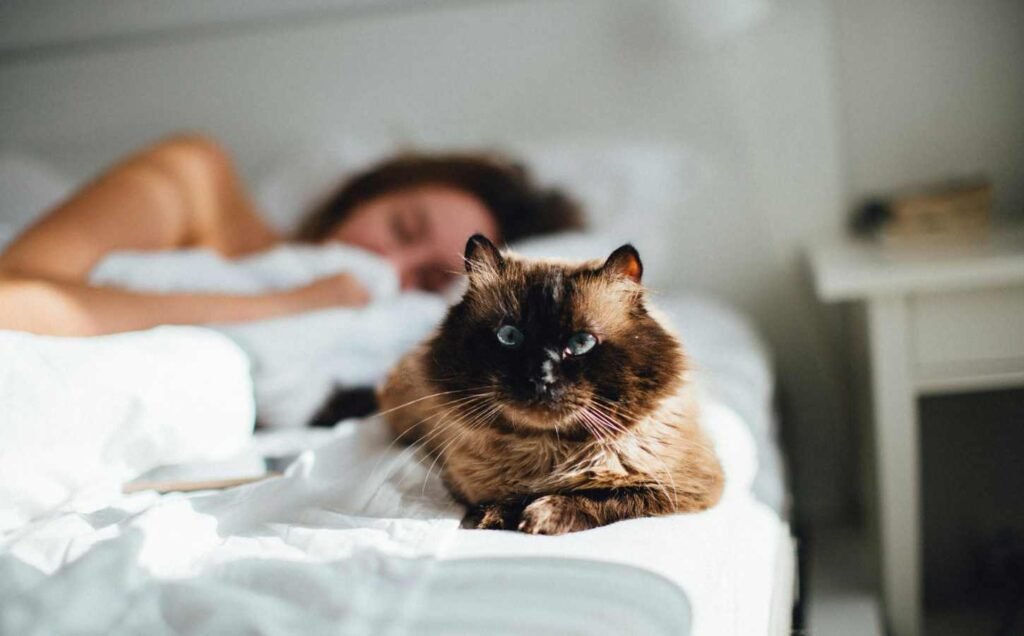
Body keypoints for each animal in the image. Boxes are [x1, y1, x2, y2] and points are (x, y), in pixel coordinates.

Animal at [376, 235, 720, 532]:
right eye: (509, 337)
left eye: (581, 343)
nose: (540, 376)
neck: (548, 451)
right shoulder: (467, 482)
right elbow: (504, 498)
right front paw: (495, 517)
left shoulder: (676, 489)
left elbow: (599, 498)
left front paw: (540, 517)